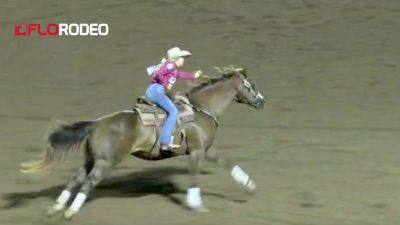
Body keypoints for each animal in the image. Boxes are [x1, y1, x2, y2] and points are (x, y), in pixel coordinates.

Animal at [21, 64, 266, 218]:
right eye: (251, 85)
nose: (262, 102)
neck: (200, 109)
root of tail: (97, 123)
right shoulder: (197, 152)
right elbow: (194, 177)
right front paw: (196, 205)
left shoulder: (206, 149)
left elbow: (227, 162)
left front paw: (249, 184)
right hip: (106, 162)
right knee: (89, 182)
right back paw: (70, 211)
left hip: (91, 159)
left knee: (75, 179)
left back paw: (56, 207)